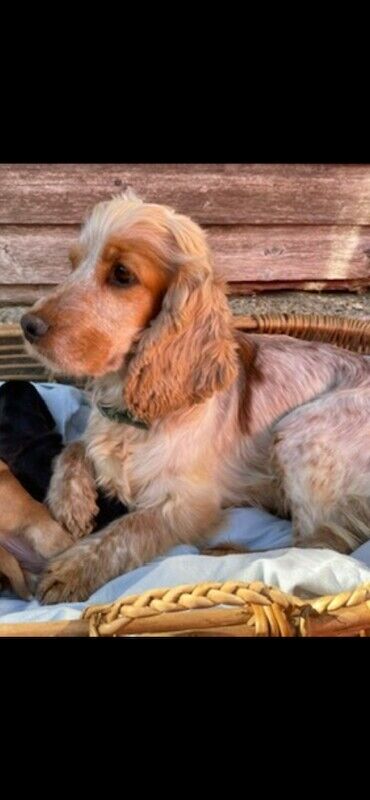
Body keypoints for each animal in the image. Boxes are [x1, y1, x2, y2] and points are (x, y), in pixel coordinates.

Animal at [21, 192, 370, 600]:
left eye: (122, 274)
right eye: (74, 264)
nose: (27, 325)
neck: (132, 405)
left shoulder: (187, 503)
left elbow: (129, 530)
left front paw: (72, 570)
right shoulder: (97, 436)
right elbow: (73, 447)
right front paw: (71, 504)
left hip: (302, 432)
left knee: (315, 545)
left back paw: (227, 553)